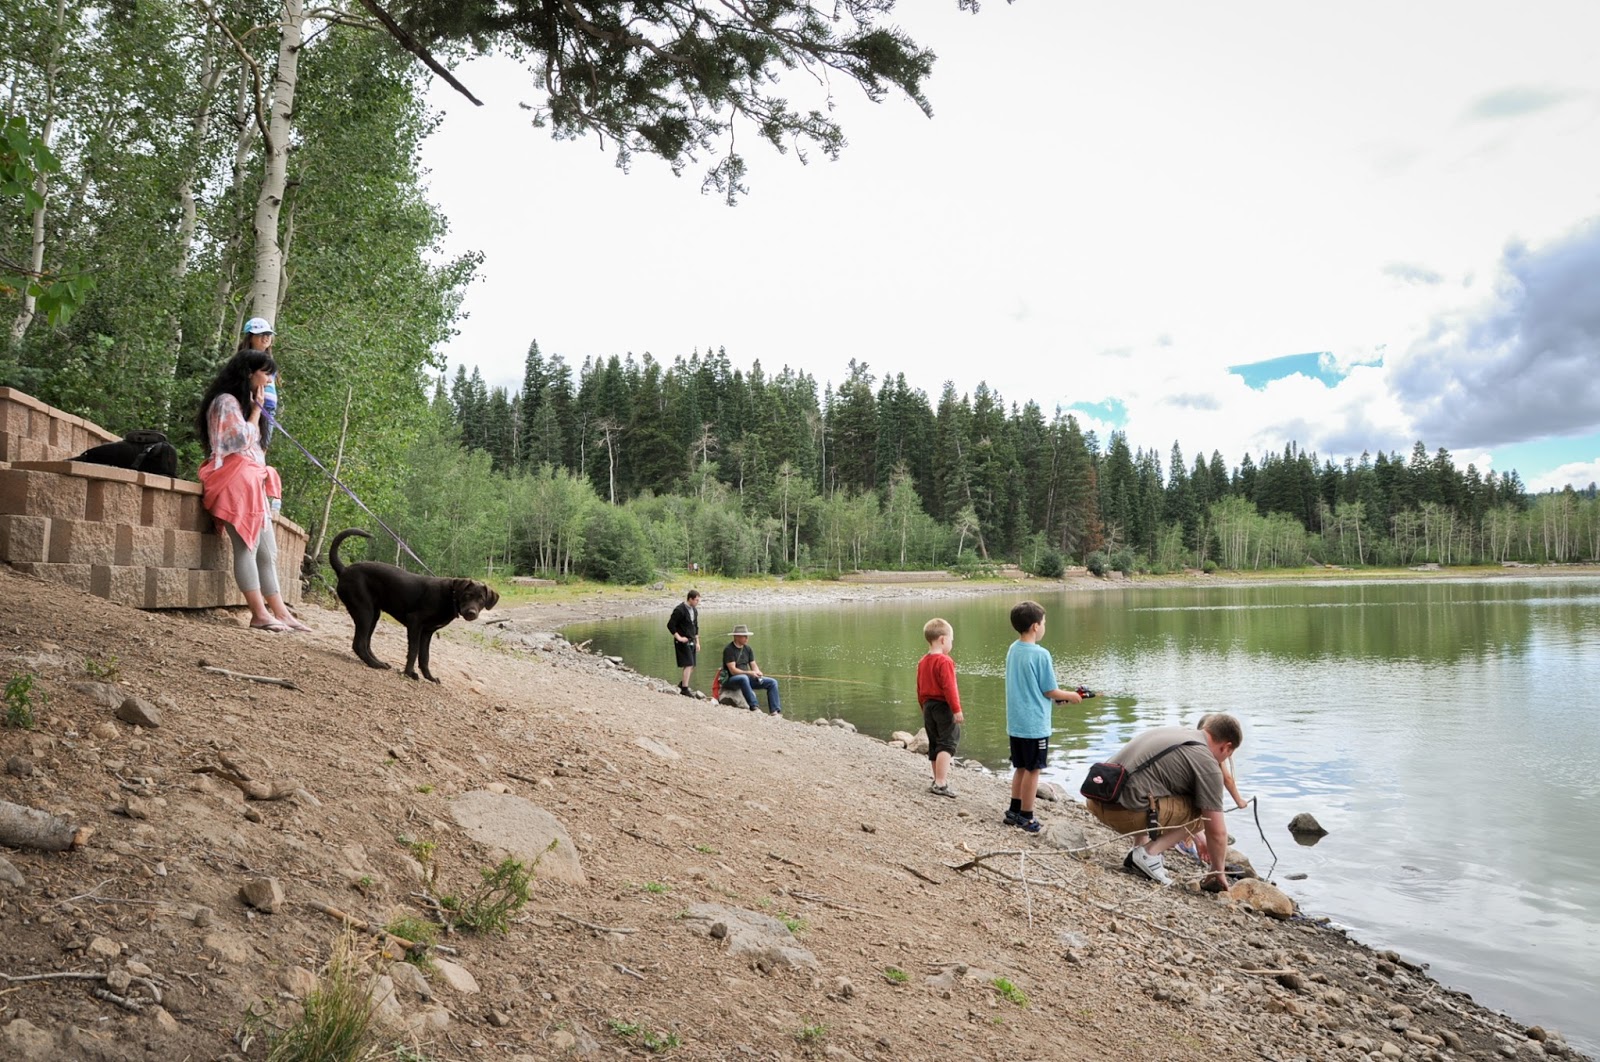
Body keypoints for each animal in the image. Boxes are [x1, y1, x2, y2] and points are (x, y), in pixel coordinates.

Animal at [328, 528, 499, 683]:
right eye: (467, 595)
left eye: (481, 599)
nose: (471, 612)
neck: (449, 597)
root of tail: (344, 570)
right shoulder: (415, 622)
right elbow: (413, 652)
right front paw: (408, 673)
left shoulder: (427, 632)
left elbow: (424, 656)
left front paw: (429, 677)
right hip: (365, 611)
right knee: (359, 643)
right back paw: (375, 664)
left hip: (374, 614)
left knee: (366, 643)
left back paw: (378, 662)